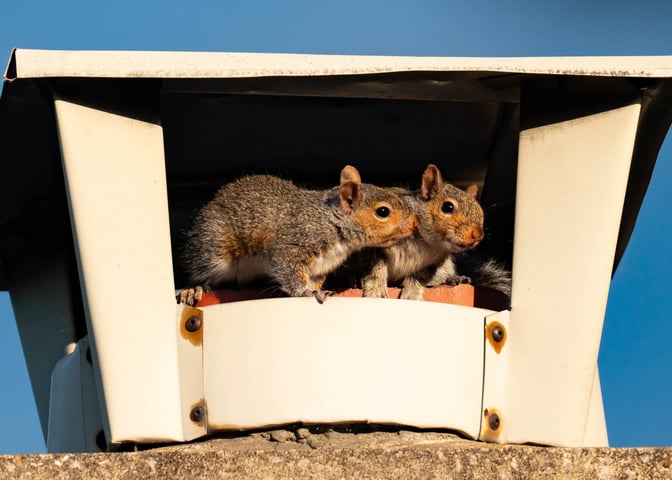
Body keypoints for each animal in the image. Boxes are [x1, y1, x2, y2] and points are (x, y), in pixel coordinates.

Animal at [177, 165, 419, 305]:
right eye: (383, 211)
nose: (415, 223)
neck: (330, 221)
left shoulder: (321, 266)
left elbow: (314, 280)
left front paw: (314, 289)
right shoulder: (293, 243)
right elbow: (288, 271)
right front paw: (305, 293)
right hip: (212, 250)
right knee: (200, 272)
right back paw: (193, 288)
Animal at [328, 164, 487, 300]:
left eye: (481, 211)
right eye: (448, 207)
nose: (478, 236)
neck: (426, 241)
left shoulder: (432, 264)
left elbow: (417, 278)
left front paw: (411, 294)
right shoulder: (372, 246)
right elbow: (375, 269)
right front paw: (376, 290)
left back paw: (454, 279)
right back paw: (352, 280)